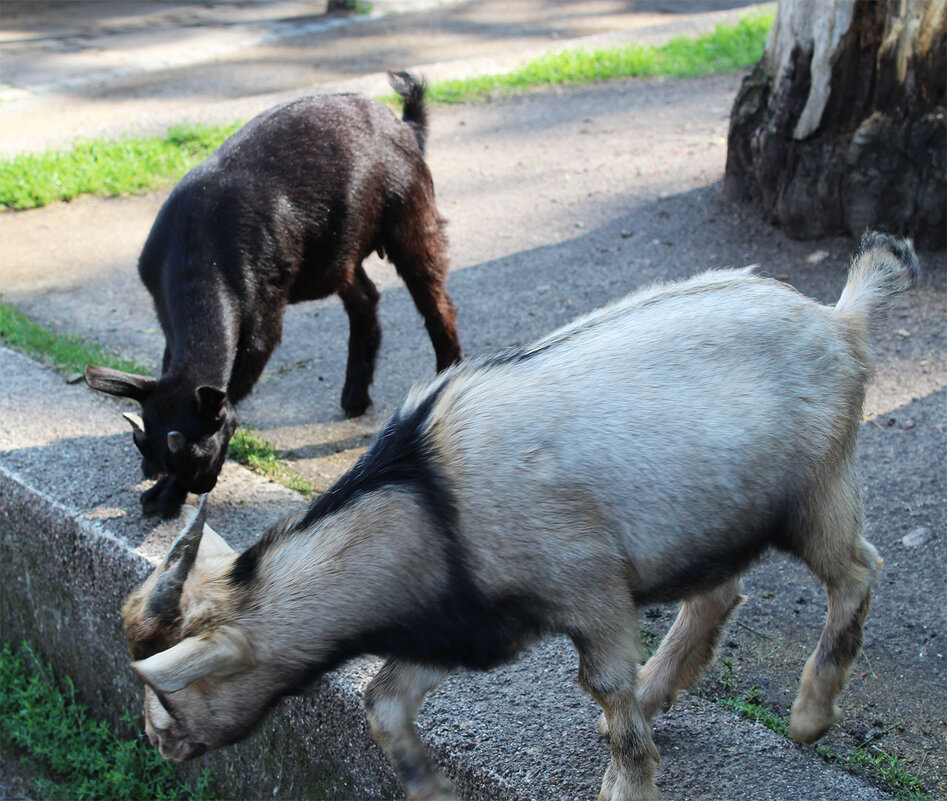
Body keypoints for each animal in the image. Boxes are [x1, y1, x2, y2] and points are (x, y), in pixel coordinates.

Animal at [85, 70, 462, 520]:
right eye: (143, 442)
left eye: (200, 455)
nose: (201, 484)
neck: (198, 257)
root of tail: (403, 126)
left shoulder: (262, 317)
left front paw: (164, 497)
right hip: (337, 249)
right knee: (365, 299)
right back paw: (355, 395)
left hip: (411, 217)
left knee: (436, 303)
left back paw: (447, 372)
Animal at [118, 230, 920, 792]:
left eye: (169, 693)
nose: (158, 744)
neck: (430, 497)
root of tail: (841, 319)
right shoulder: (464, 619)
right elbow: (382, 698)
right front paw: (431, 788)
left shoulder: (590, 591)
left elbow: (604, 689)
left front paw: (626, 783)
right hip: (708, 520)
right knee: (718, 594)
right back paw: (660, 690)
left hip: (817, 487)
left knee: (855, 569)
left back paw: (808, 715)